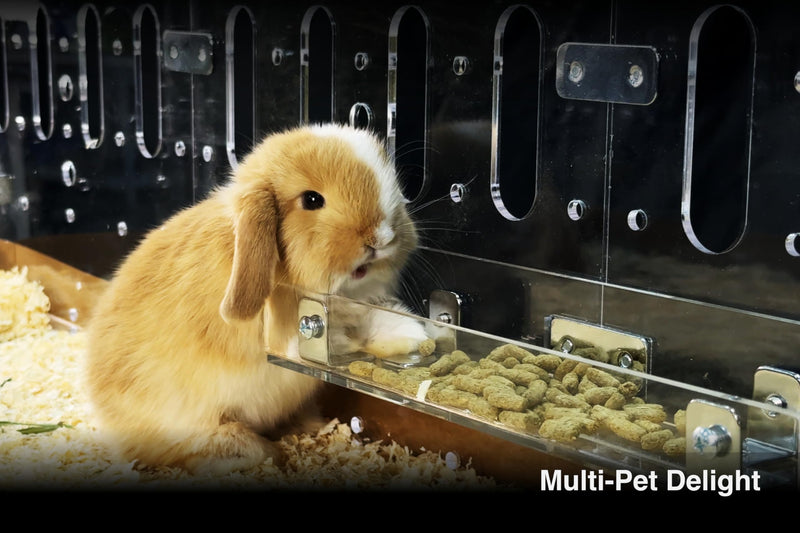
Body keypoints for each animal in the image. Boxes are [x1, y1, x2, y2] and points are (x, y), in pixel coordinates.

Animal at [84, 123, 431, 476]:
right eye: (312, 199)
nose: (383, 237)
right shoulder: (288, 334)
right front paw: (350, 343)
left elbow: (378, 320)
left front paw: (415, 338)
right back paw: (263, 451)